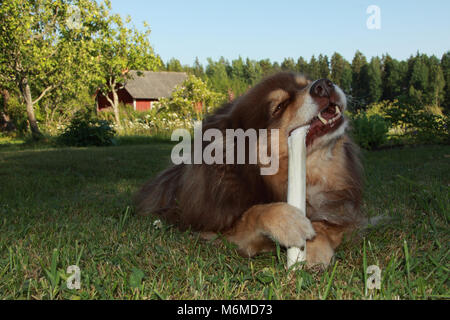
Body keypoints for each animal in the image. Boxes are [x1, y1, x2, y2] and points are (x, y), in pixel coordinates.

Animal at [135, 72, 364, 268]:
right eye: (279, 106)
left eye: (304, 84)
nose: (324, 85)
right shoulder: (219, 230)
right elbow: (254, 212)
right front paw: (288, 221)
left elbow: (327, 223)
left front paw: (315, 245)